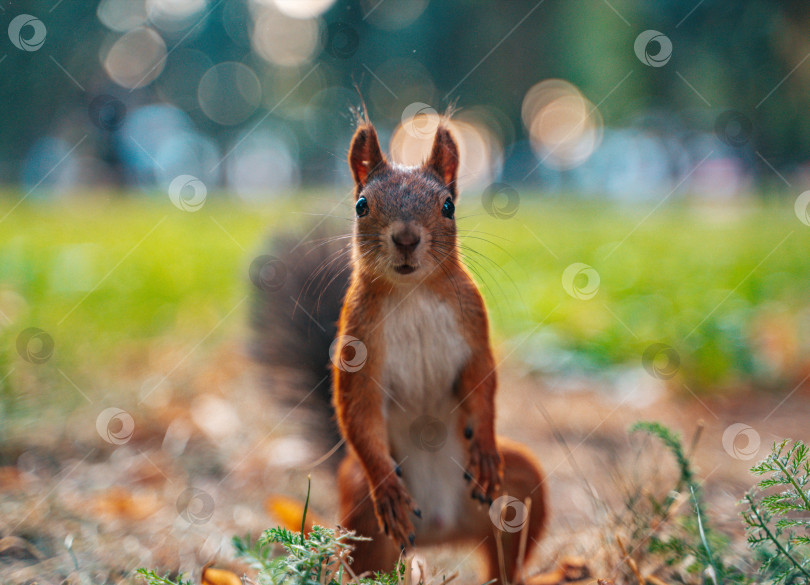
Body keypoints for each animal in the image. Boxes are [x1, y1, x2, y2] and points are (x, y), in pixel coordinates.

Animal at [328, 117, 548, 580]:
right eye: (361, 205)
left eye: (448, 206)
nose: (407, 238)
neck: (413, 292)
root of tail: (442, 530)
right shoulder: (356, 346)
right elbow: (357, 411)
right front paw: (387, 486)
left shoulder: (474, 334)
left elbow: (483, 385)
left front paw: (484, 446)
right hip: (360, 511)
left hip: (522, 484)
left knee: (506, 552)